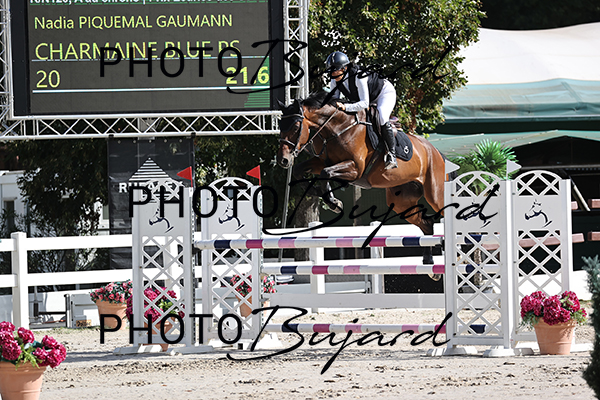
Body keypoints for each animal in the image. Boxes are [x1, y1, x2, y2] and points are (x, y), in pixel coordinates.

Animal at [276, 92, 450, 266]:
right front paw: (330, 200)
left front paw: (334, 202)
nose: (283, 160)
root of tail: (436, 153)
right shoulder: (321, 162)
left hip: (435, 194)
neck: (337, 128)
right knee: (426, 223)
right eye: (279, 126)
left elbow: (325, 173)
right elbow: (301, 171)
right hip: (401, 202)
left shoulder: (355, 169)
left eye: (296, 126)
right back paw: (428, 260)